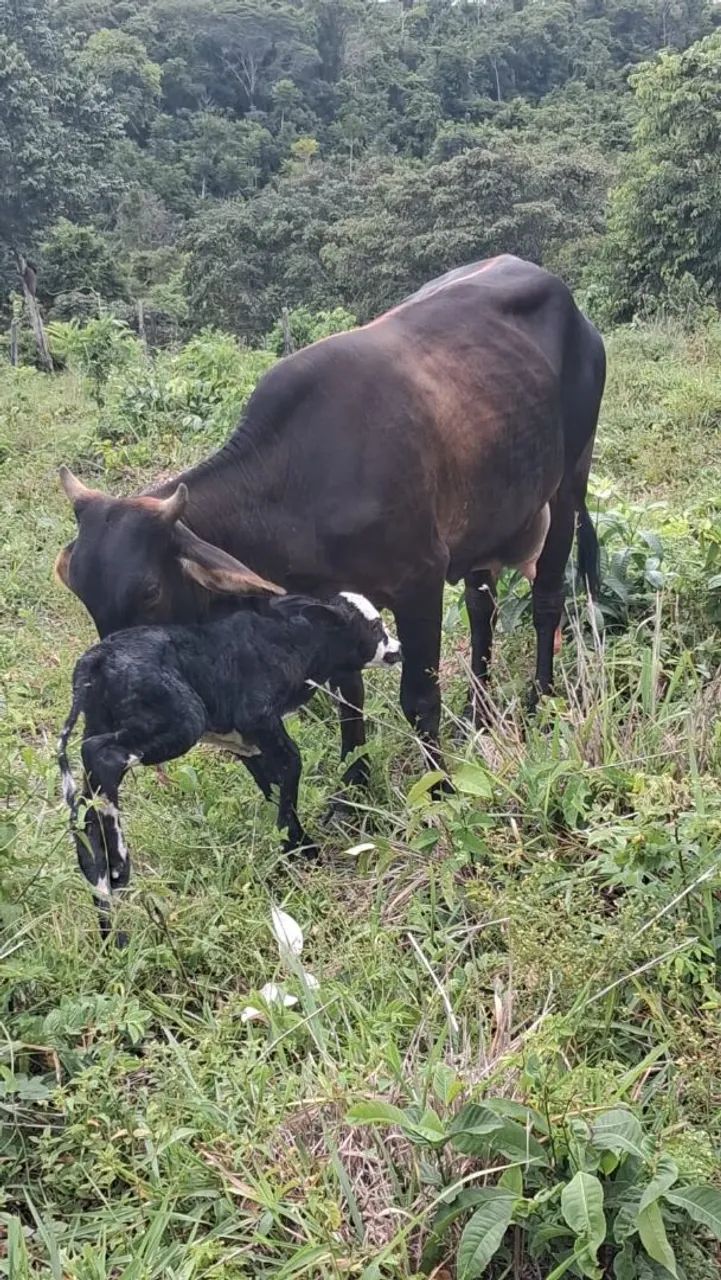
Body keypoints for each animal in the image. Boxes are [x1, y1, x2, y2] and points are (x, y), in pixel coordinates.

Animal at [55, 255, 605, 783]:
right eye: (82, 594)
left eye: (150, 591)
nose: (114, 686)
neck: (297, 482)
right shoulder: (332, 602)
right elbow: (347, 696)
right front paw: (354, 784)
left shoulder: (421, 578)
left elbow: (419, 699)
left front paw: (440, 786)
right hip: (489, 515)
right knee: (480, 607)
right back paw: (478, 712)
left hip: (567, 486)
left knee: (548, 599)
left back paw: (540, 699)